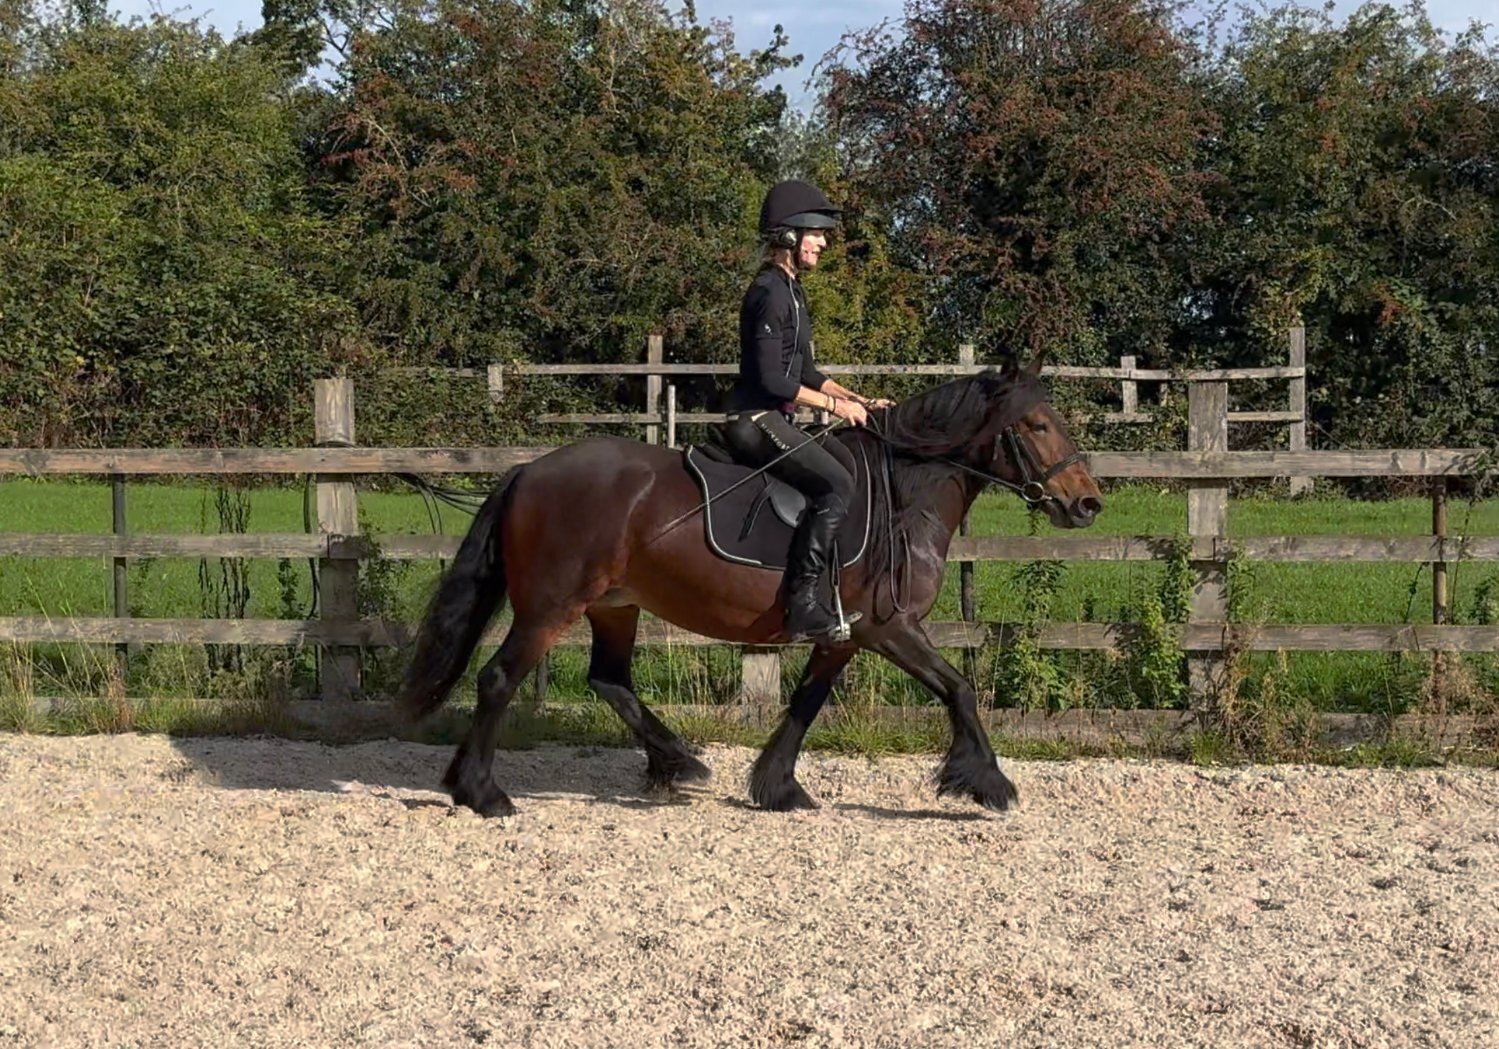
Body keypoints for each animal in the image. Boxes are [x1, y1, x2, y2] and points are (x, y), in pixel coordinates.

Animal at [397, 355, 1104, 817]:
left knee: (609, 680)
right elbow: (959, 687)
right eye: (1038, 425)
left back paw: (674, 763)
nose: (1089, 504)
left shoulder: (846, 634)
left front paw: (778, 788)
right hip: (551, 607)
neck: (906, 496)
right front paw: (988, 783)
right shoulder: (890, 627)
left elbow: (805, 704)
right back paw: (484, 793)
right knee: (498, 679)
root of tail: (527, 470)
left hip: (614, 605)